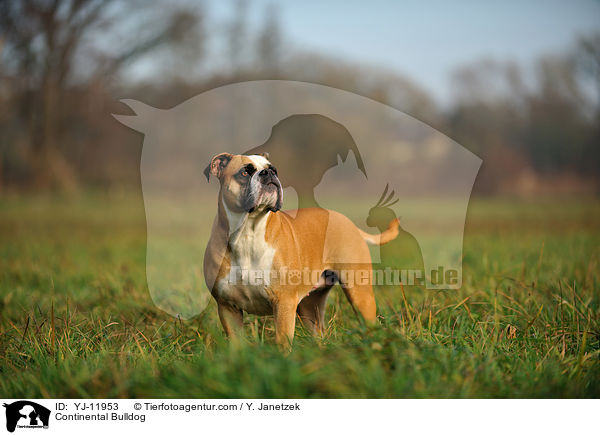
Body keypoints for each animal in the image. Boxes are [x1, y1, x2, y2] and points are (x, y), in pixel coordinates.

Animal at [203, 153, 398, 348]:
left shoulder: (283, 303)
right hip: (310, 307)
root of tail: (349, 222)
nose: (268, 173)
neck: (247, 233)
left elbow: (282, 342)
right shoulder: (228, 308)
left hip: (359, 295)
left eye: (274, 169)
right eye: (245, 172)